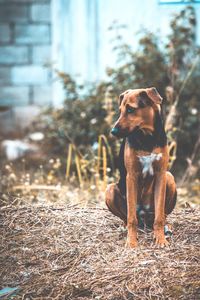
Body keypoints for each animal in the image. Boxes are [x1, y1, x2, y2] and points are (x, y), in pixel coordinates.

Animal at [105, 88, 176, 247]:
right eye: (120, 110)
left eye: (130, 109)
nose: (113, 131)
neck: (147, 137)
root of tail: (144, 217)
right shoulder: (132, 175)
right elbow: (132, 219)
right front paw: (131, 241)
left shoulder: (161, 174)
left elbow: (159, 217)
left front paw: (160, 239)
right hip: (110, 189)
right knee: (127, 218)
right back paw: (125, 228)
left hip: (170, 178)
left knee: (163, 215)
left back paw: (167, 227)